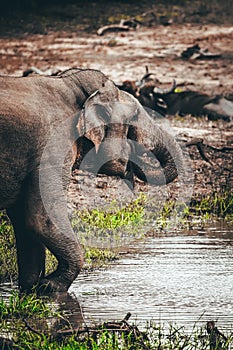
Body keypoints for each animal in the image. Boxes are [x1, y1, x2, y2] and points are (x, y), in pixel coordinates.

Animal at [0, 67, 187, 294]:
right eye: (134, 115)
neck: (70, 85)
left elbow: (22, 221)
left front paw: (34, 290)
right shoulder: (52, 149)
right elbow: (40, 218)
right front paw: (51, 286)